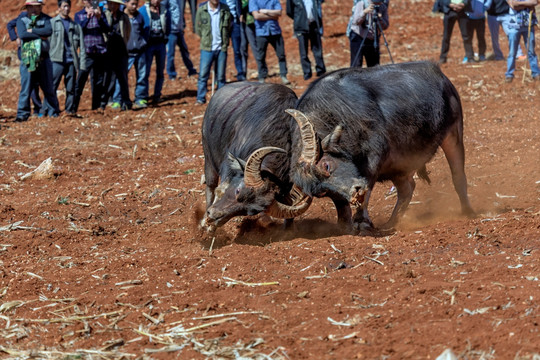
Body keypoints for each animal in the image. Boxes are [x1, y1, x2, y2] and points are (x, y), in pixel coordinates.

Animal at [201, 82, 312, 232]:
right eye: (238, 190)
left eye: (251, 211)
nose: (213, 215)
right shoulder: (228, 164)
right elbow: (221, 189)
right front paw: (208, 226)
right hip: (208, 159)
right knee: (211, 186)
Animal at [286, 60, 472, 232]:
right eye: (322, 192)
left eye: (326, 165)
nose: (355, 193)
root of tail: (439, 74)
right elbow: (341, 204)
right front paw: (345, 225)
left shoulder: (374, 159)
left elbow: (367, 190)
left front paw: (362, 222)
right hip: (400, 164)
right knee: (407, 189)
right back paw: (391, 223)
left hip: (453, 134)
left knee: (458, 177)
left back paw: (467, 211)